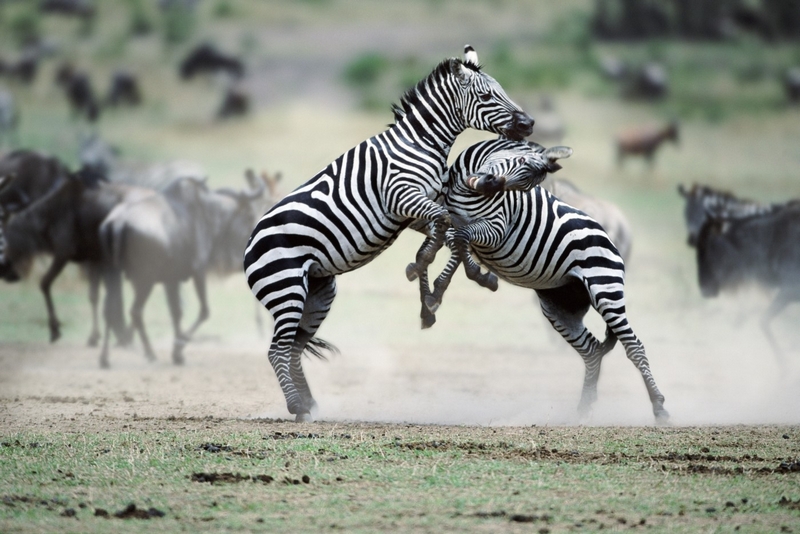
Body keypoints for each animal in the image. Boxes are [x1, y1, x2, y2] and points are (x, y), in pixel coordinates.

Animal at [241, 47, 536, 422]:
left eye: (501, 90)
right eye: (486, 96)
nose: (529, 124)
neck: (422, 145)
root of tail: (249, 244)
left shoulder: (416, 210)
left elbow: (451, 232)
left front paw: (463, 280)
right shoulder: (402, 197)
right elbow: (443, 227)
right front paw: (422, 272)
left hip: (319, 293)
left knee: (293, 347)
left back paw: (309, 404)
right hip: (286, 288)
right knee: (276, 349)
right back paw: (297, 408)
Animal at [416, 140, 672, 426]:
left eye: (526, 183)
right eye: (520, 162)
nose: (490, 186)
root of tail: (609, 236)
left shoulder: (497, 229)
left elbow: (460, 239)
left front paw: (454, 284)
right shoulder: (446, 219)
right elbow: (450, 243)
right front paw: (434, 292)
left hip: (605, 288)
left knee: (634, 346)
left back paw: (659, 408)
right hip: (559, 306)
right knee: (592, 349)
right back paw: (584, 408)